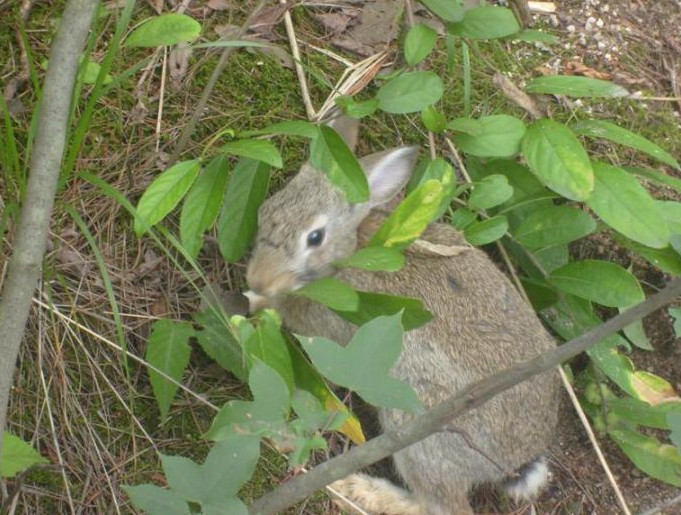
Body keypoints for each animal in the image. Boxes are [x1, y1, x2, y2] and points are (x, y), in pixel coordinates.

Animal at [244, 115, 556, 512]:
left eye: (314, 238)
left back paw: (356, 489)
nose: (258, 278)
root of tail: (514, 462)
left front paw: (259, 303)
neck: (350, 253)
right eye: (265, 212)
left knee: (439, 504)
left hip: (421, 424)